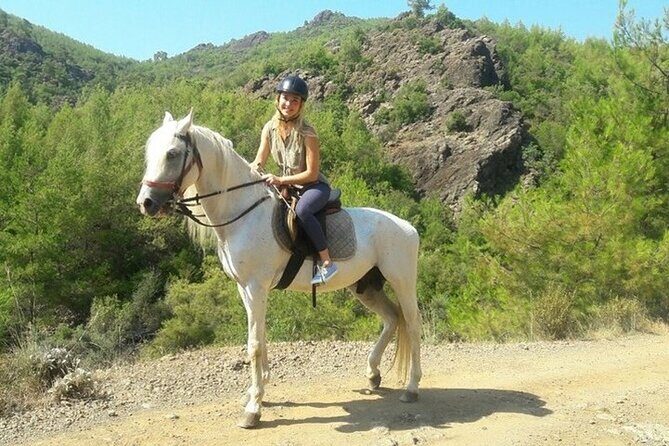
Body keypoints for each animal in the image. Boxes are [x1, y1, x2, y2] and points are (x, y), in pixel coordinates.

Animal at [136, 111, 422, 428]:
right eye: (150, 151)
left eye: (172, 154)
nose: (146, 203)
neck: (243, 214)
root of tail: (408, 227)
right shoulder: (245, 289)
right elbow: (258, 337)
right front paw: (255, 393)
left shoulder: (255, 287)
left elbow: (254, 344)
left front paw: (253, 409)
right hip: (365, 287)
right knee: (391, 319)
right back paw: (373, 374)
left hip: (402, 281)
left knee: (412, 323)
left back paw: (411, 388)